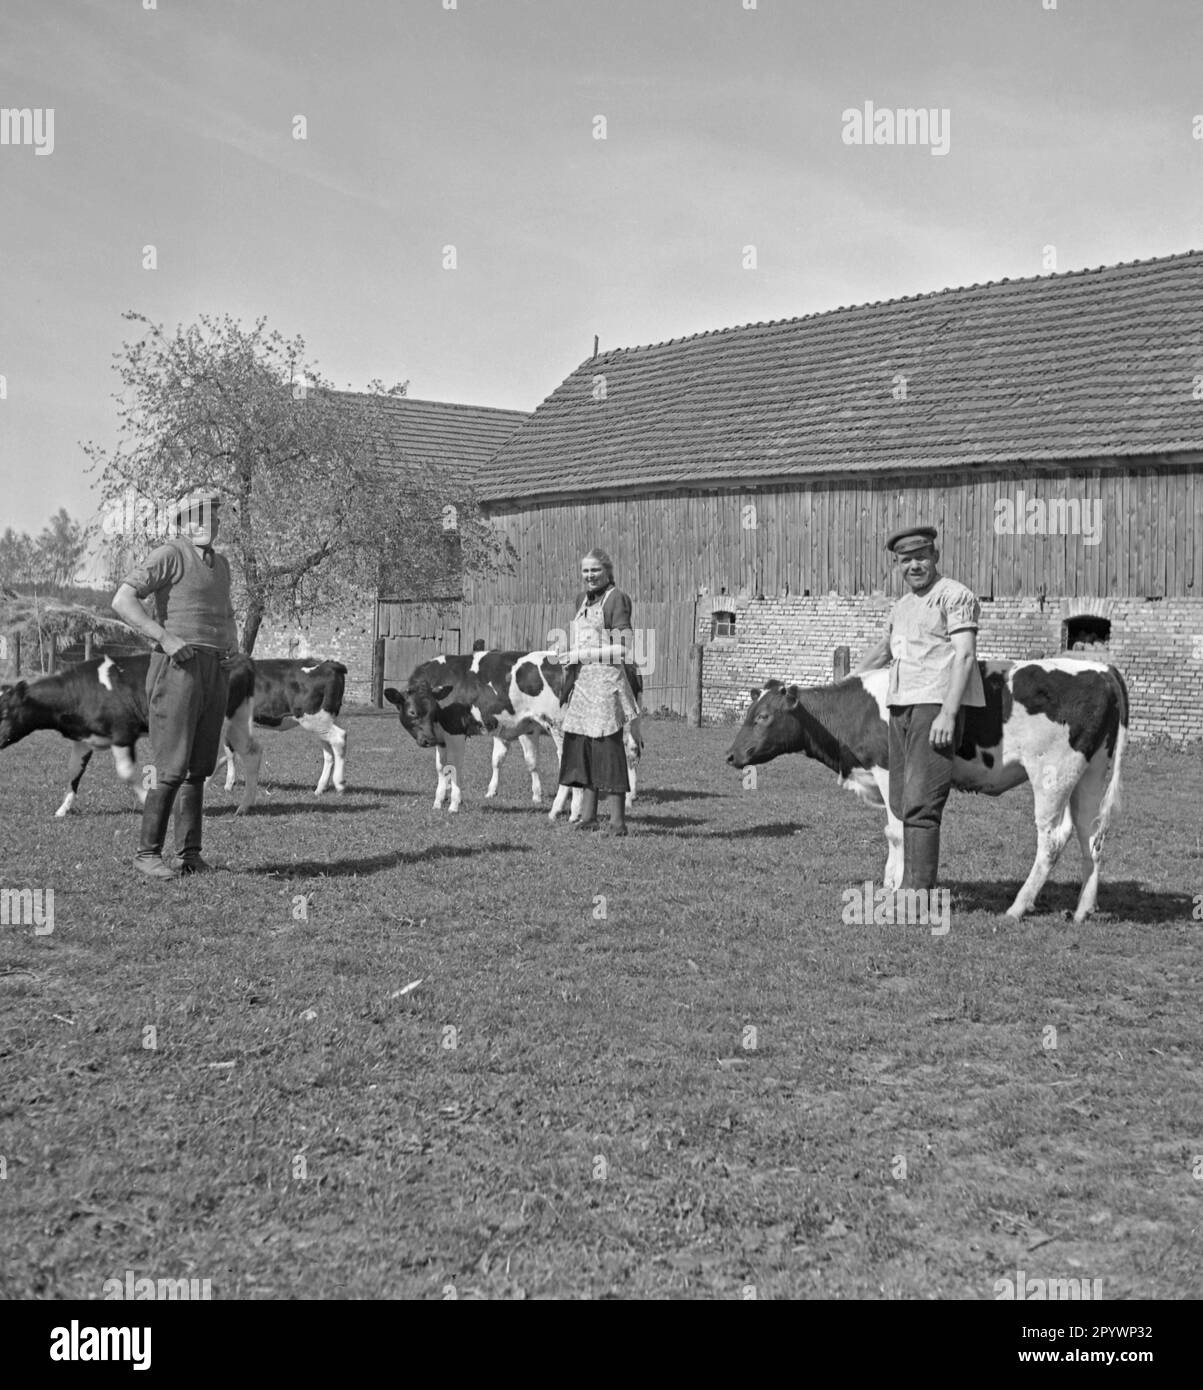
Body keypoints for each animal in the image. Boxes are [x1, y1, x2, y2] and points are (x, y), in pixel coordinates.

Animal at [207, 658, 342, 806]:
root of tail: (330, 664)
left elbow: (227, 751)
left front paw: (227, 784)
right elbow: (230, 752)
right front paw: (229, 783)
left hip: (315, 719)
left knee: (339, 738)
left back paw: (338, 783)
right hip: (321, 723)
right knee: (329, 753)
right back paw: (320, 788)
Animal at [386, 647, 642, 811]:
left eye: (432, 711)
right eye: (413, 712)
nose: (427, 740)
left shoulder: (455, 731)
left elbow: (454, 767)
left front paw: (454, 803)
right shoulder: (441, 737)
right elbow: (441, 768)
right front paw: (439, 801)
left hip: (561, 727)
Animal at [723, 653, 1123, 917]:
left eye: (763, 717)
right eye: (750, 713)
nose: (730, 754)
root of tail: (1102, 669)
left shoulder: (888, 771)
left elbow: (897, 830)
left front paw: (897, 885)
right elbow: (891, 831)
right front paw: (888, 882)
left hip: (1051, 774)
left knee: (1052, 840)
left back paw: (1018, 906)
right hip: (1087, 774)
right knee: (1091, 836)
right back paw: (1083, 909)